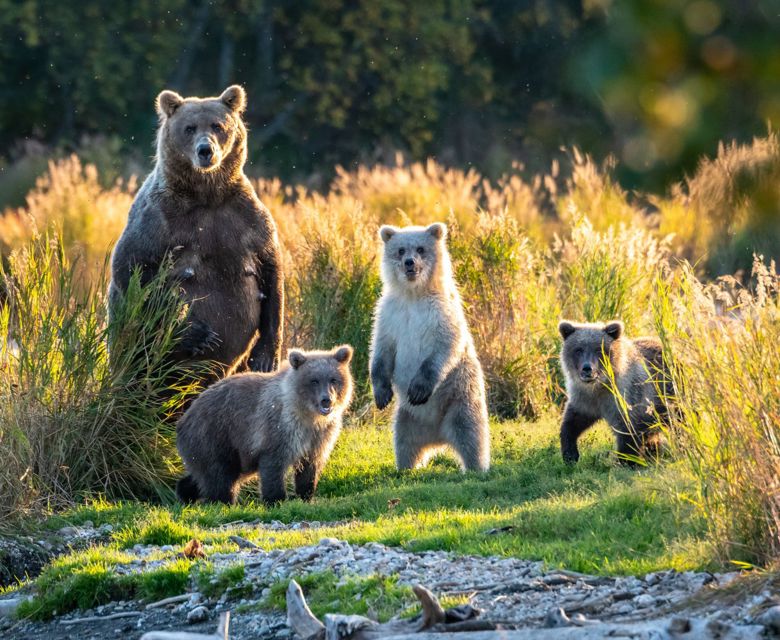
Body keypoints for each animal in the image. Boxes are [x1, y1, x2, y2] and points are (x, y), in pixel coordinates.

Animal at [109, 85, 284, 384]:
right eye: (189, 128)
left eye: (217, 125)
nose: (205, 150)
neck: (206, 195)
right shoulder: (159, 218)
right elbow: (131, 268)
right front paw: (197, 334)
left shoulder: (245, 217)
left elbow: (271, 270)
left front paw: (264, 357)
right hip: (133, 350)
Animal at [176, 345, 354, 505]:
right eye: (314, 380)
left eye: (333, 379)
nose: (326, 400)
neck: (308, 415)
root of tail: (184, 418)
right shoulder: (279, 427)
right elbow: (273, 464)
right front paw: (276, 500)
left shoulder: (319, 436)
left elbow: (310, 467)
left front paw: (306, 496)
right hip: (214, 434)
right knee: (220, 475)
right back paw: (224, 502)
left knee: (207, 475)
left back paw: (185, 493)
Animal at [369, 222, 490, 472]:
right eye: (401, 250)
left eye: (420, 249)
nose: (410, 263)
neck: (414, 295)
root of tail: (439, 437)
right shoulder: (389, 314)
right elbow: (381, 351)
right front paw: (382, 394)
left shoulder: (441, 313)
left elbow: (444, 347)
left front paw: (418, 389)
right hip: (408, 417)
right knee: (404, 441)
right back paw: (406, 467)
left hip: (460, 398)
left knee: (470, 433)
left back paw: (476, 467)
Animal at [558, 320, 670, 465]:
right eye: (578, 349)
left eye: (598, 349)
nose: (587, 368)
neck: (600, 386)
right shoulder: (584, 398)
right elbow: (572, 421)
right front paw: (570, 455)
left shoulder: (627, 396)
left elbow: (629, 430)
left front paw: (626, 461)